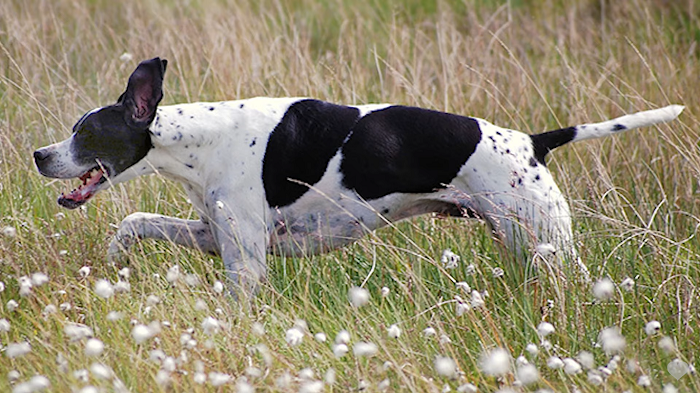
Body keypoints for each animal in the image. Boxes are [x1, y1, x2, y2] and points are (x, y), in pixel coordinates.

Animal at [34, 57, 684, 290]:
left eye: (85, 133)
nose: (39, 154)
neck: (199, 139)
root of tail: (532, 141)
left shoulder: (246, 263)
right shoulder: (216, 234)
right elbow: (137, 221)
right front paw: (116, 257)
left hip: (547, 245)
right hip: (526, 246)